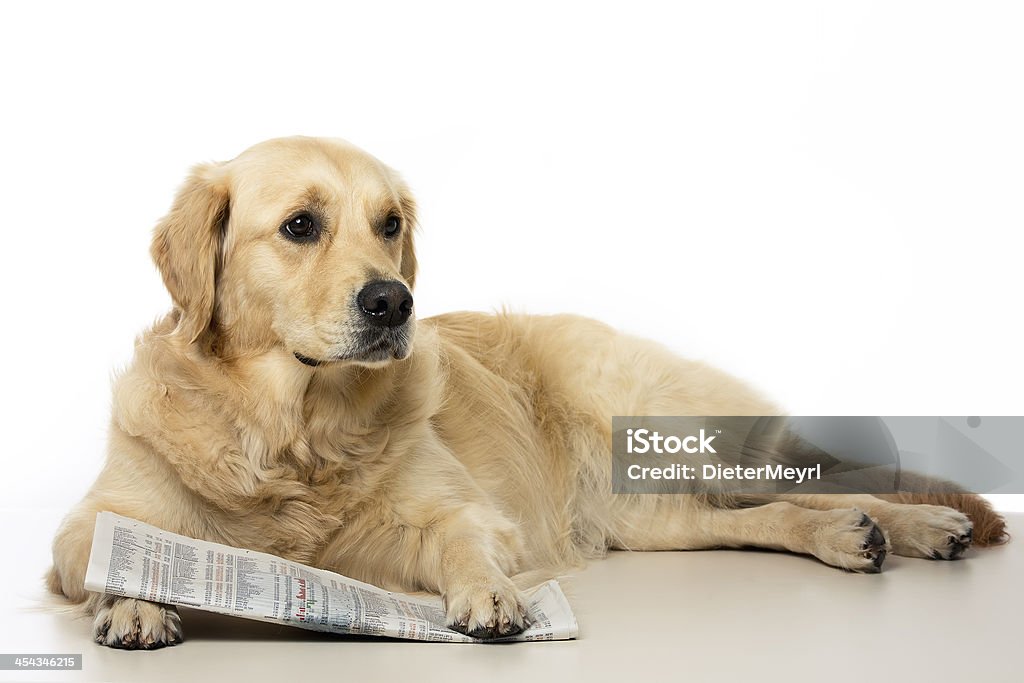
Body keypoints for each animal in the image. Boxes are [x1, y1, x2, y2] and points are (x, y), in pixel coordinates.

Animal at [48, 136, 1007, 651]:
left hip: (669, 441)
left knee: (826, 478)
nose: (393, 301)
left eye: (389, 224)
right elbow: (106, 547)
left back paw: (923, 522)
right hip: (645, 512)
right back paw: (856, 535)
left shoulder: (464, 512)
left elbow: (464, 544)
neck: (294, 433)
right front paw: (134, 596)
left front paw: (489, 596)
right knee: (773, 513)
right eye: (299, 226)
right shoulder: (91, 519)